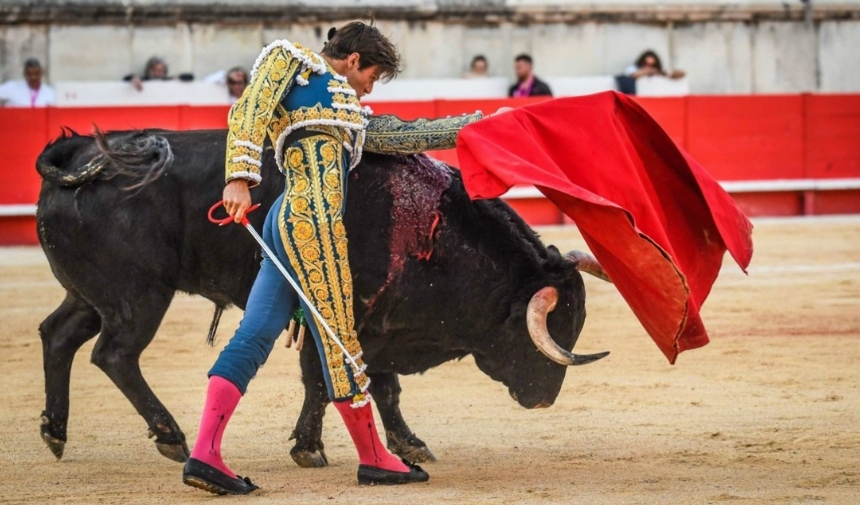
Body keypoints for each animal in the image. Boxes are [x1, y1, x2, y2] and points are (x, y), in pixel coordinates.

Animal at [37, 128, 608, 466]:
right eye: (547, 331)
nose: (544, 398)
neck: (432, 230)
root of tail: (81, 154)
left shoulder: (381, 327)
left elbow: (385, 388)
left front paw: (409, 444)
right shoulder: (336, 317)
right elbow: (323, 381)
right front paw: (309, 449)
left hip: (91, 295)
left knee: (58, 336)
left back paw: (55, 431)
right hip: (138, 298)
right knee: (115, 354)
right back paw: (170, 436)